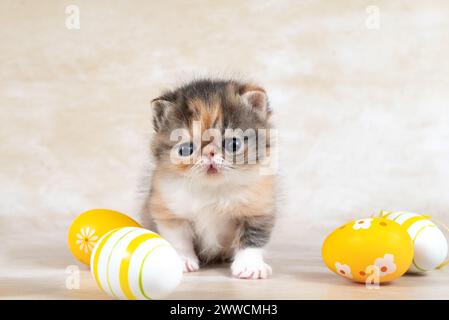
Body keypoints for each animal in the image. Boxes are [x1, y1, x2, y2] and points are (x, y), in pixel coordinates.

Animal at [143, 79, 276, 278]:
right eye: (186, 150)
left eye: (233, 144)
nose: (210, 152)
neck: (212, 188)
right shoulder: (167, 208)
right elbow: (178, 239)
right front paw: (182, 260)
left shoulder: (259, 208)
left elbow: (253, 238)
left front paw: (250, 266)